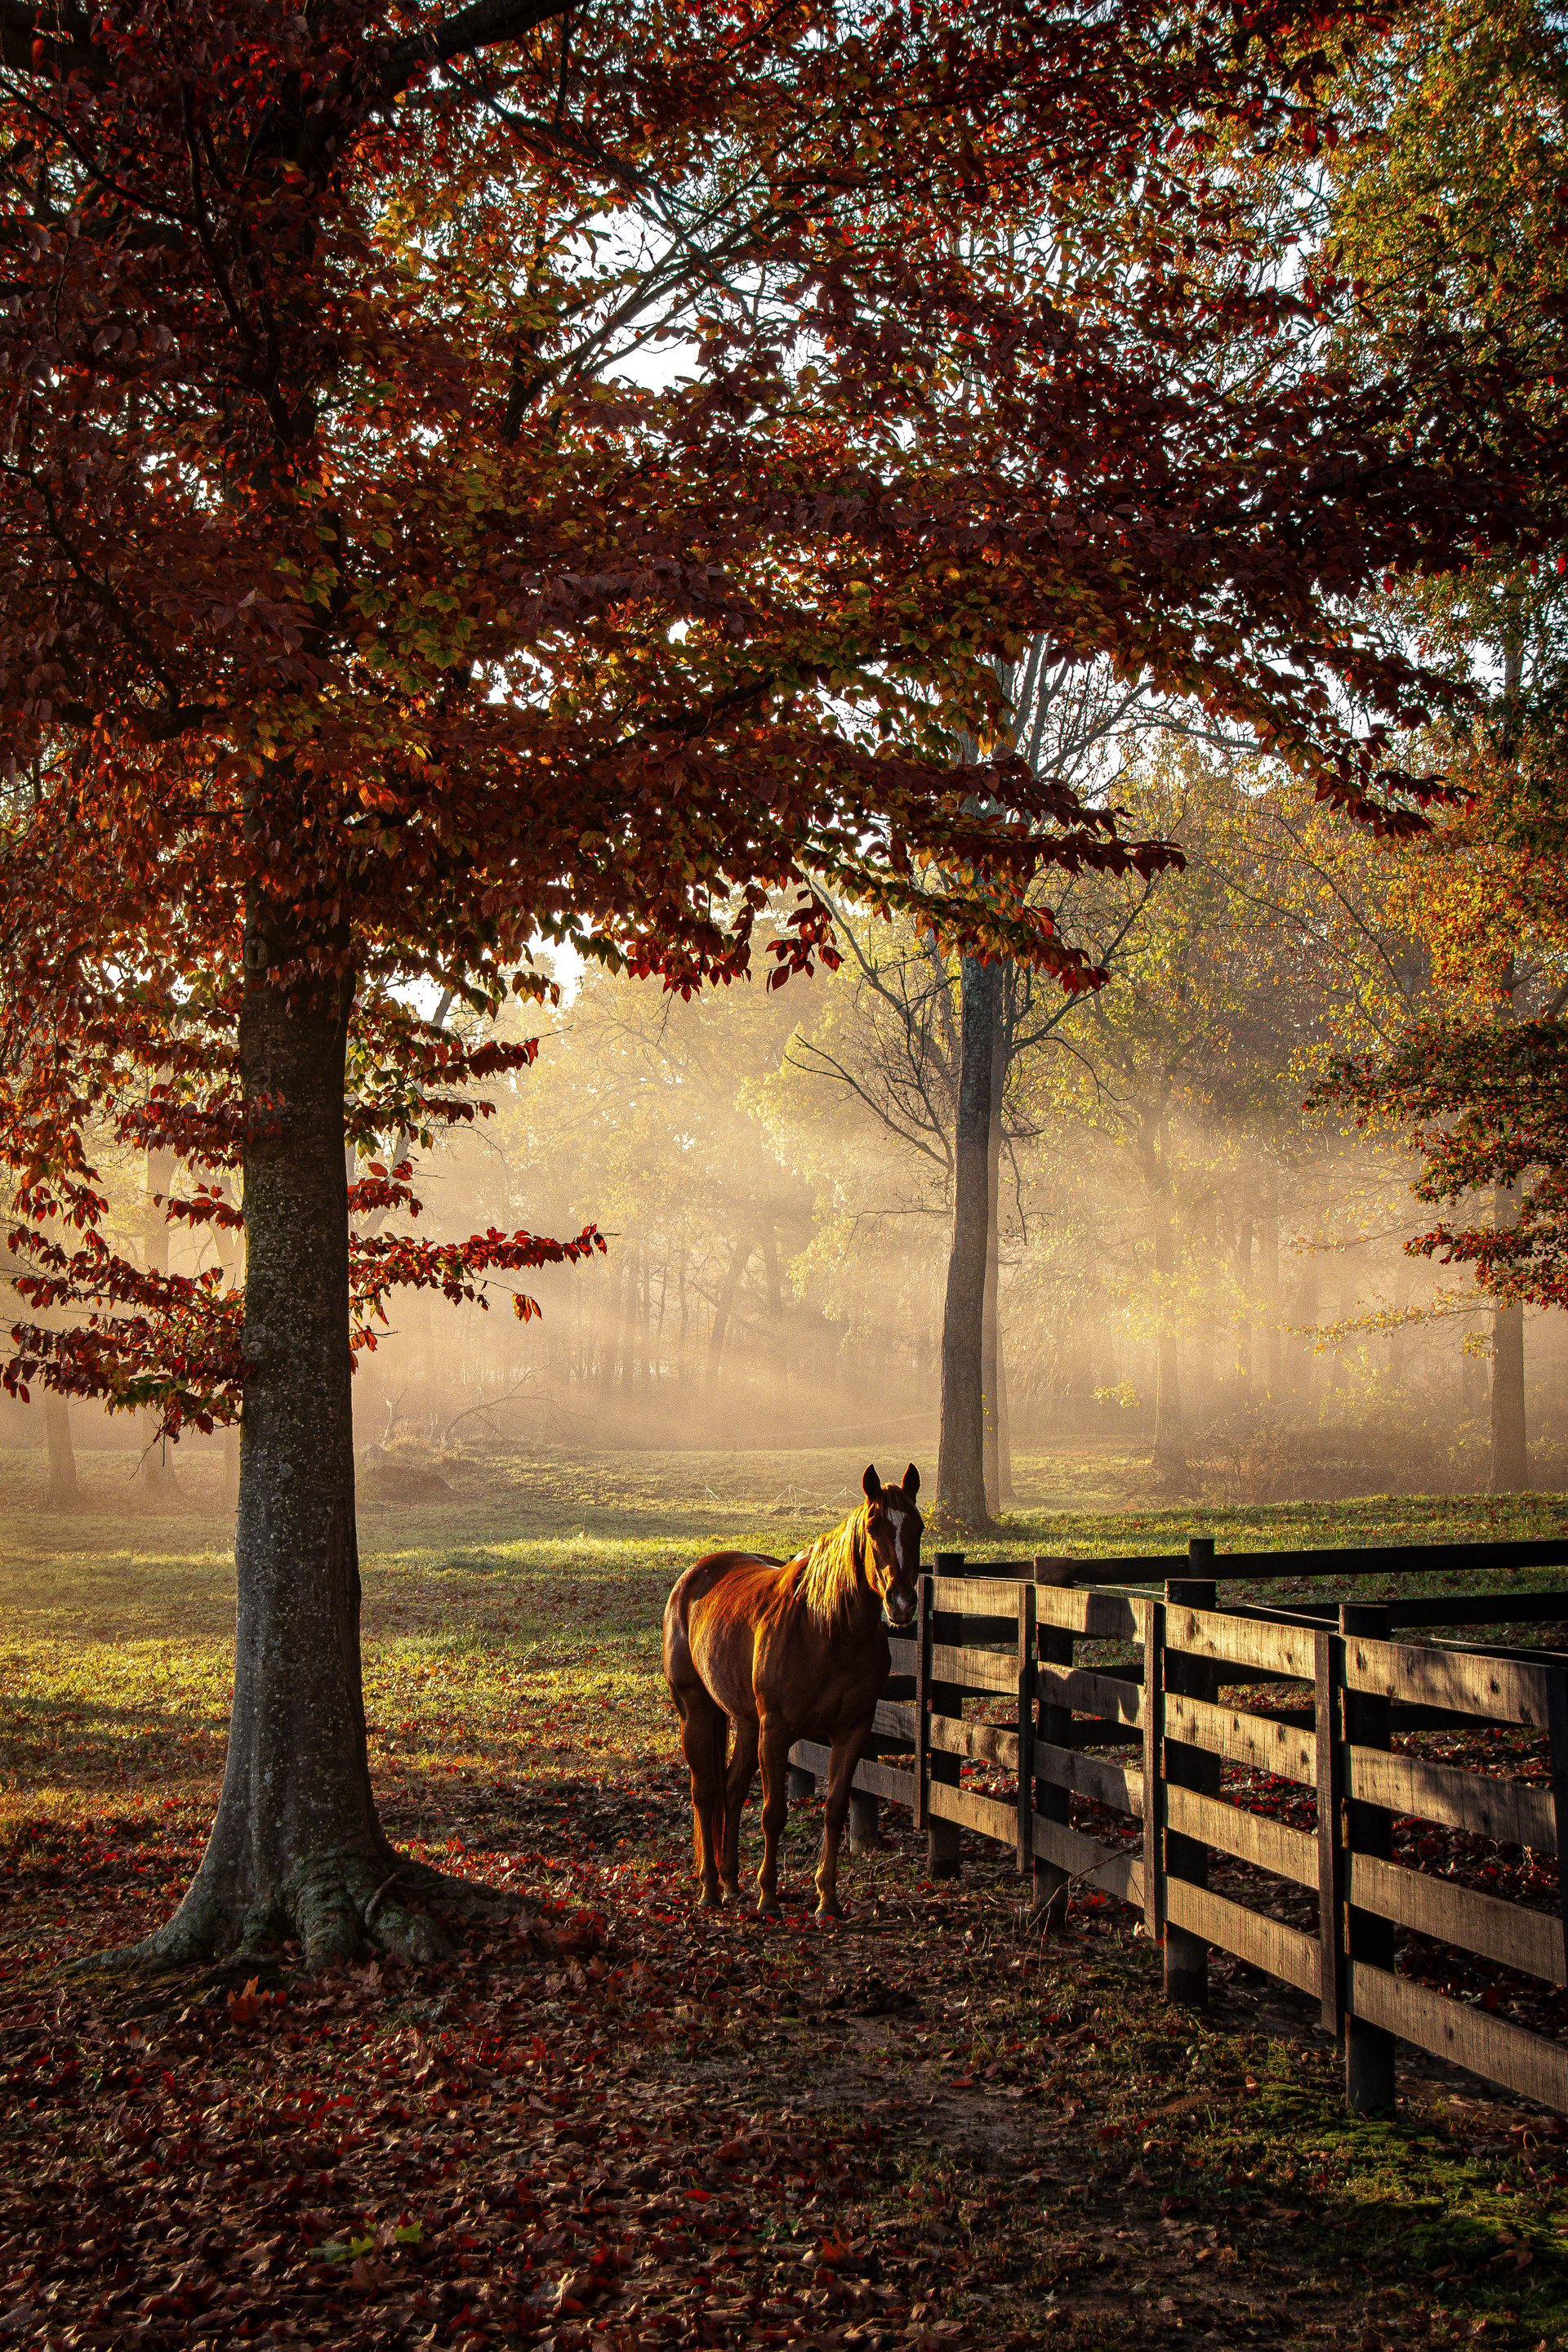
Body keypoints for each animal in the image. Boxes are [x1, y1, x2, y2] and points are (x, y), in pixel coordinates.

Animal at [662, 1463, 922, 1920]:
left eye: (919, 1527)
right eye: (872, 1527)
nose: (902, 1602)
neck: (828, 1628)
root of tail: (692, 1578)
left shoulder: (852, 1730)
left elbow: (835, 1809)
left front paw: (827, 1898)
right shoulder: (778, 1731)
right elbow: (773, 1813)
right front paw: (769, 1896)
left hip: (747, 1724)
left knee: (731, 1790)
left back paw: (732, 1884)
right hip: (698, 1712)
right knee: (706, 1792)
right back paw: (710, 1888)